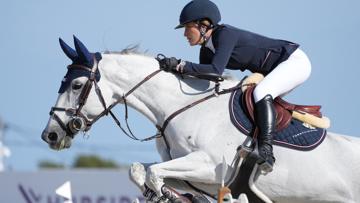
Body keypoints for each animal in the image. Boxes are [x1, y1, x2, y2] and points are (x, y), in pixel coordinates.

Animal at [41, 36, 360, 203]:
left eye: (76, 85)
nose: (50, 135)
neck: (181, 105)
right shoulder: (188, 171)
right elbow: (141, 170)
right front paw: (168, 196)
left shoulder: (210, 167)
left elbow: (153, 173)